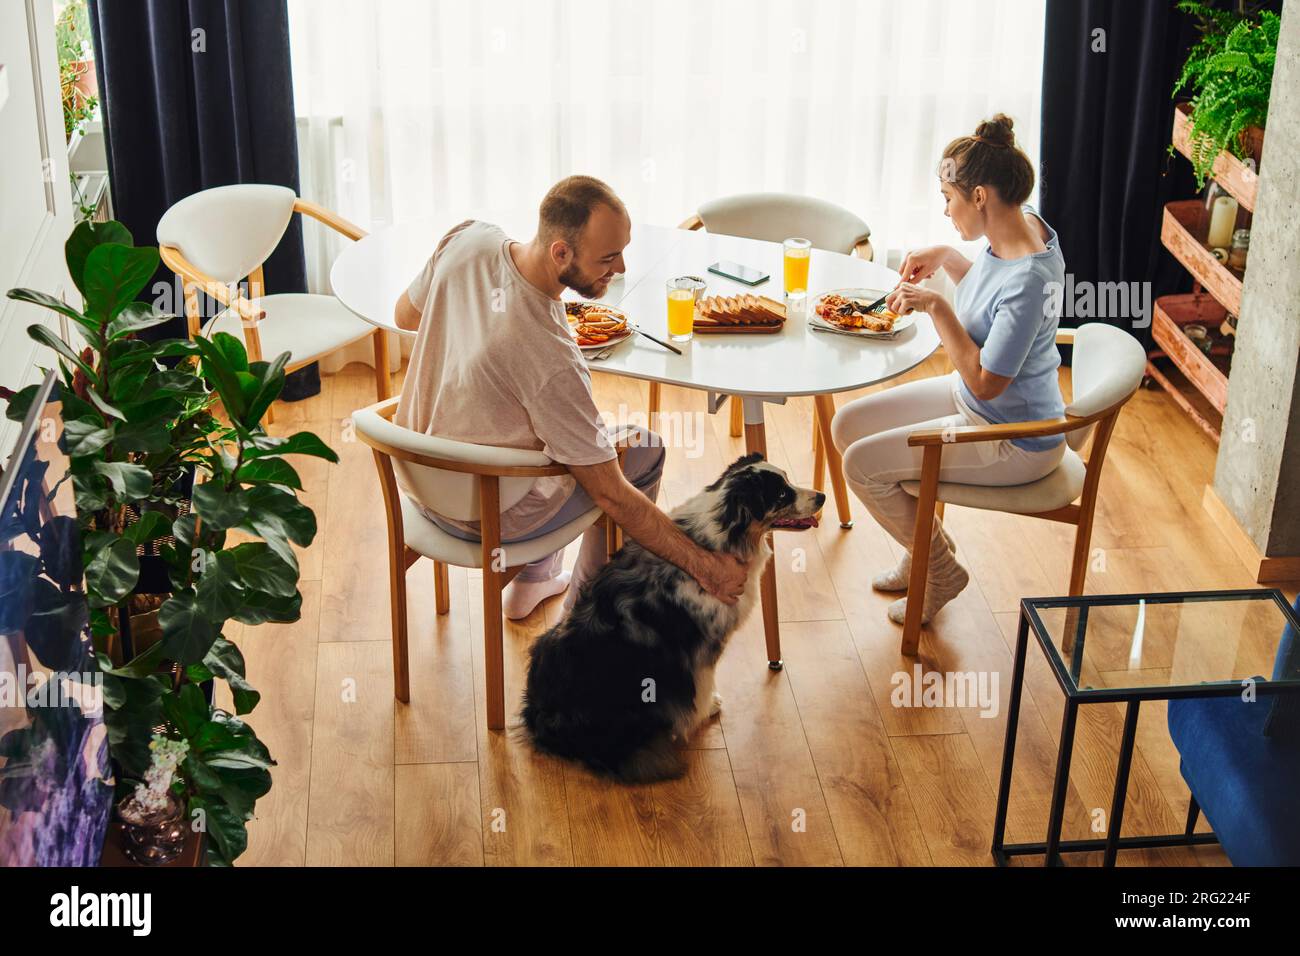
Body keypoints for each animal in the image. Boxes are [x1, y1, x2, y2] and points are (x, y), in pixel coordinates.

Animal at [520, 455, 816, 785]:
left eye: (788, 480)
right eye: (782, 495)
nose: (822, 497)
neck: (724, 529)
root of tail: (542, 718)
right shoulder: (703, 649)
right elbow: (703, 684)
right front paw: (708, 708)